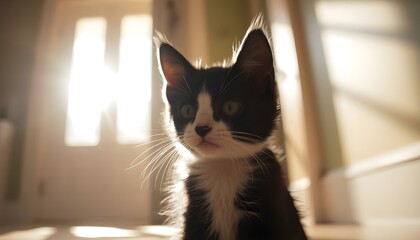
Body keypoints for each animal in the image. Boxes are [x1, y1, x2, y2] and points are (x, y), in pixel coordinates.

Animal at [156, 19, 306, 240]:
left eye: (230, 107)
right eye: (187, 110)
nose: (202, 128)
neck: (222, 167)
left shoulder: (273, 203)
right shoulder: (192, 214)